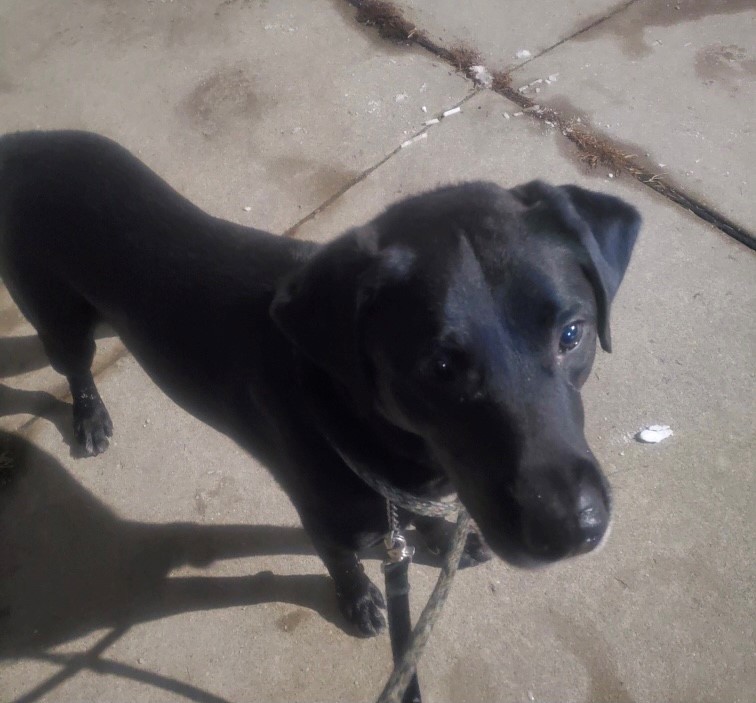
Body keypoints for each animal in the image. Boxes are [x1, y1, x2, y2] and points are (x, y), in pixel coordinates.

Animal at [0, 129, 636, 636]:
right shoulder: (324, 517)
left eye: (573, 334)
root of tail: (21, 142)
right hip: (56, 313)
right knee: (74, 365)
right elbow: (343, 561)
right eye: (440, 368)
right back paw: (88, 416)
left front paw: (434, 533)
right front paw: (359, 601)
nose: (572, 530)